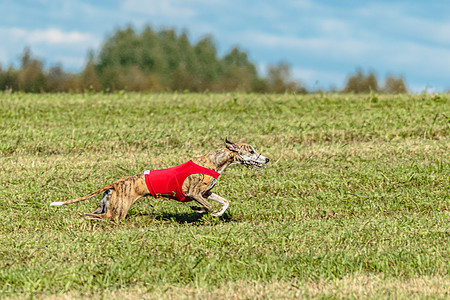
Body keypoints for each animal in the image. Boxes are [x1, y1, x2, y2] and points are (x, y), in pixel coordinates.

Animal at [50, 139, 268, 220]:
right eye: (251, 151)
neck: (216, 161)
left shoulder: (207, 192)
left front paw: (216, 212)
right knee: (96, 216)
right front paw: (201, 210)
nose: (266, 159)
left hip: (106, 206)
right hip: (117, 211)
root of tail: (115, 184)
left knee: (91, 213)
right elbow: (205, 206)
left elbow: (224, 201)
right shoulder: (194, 192)